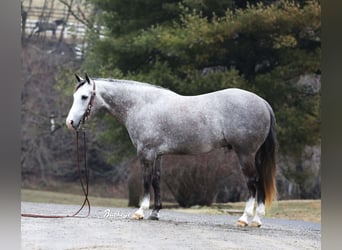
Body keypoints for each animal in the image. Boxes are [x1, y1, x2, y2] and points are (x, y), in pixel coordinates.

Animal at [65, 73, 276, 227]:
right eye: (74, 96)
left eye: (84, 97)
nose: (70, 123)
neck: (142, 105)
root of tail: (264, 103)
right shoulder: (158, 155)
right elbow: (157, 180)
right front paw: (155, 212)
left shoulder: (146, 154)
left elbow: (146, 181)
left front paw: (140, 211)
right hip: (255, 156)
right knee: (259, 182)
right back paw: (257, 220)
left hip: (245, 154)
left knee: (252, 182)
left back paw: (244, 219)